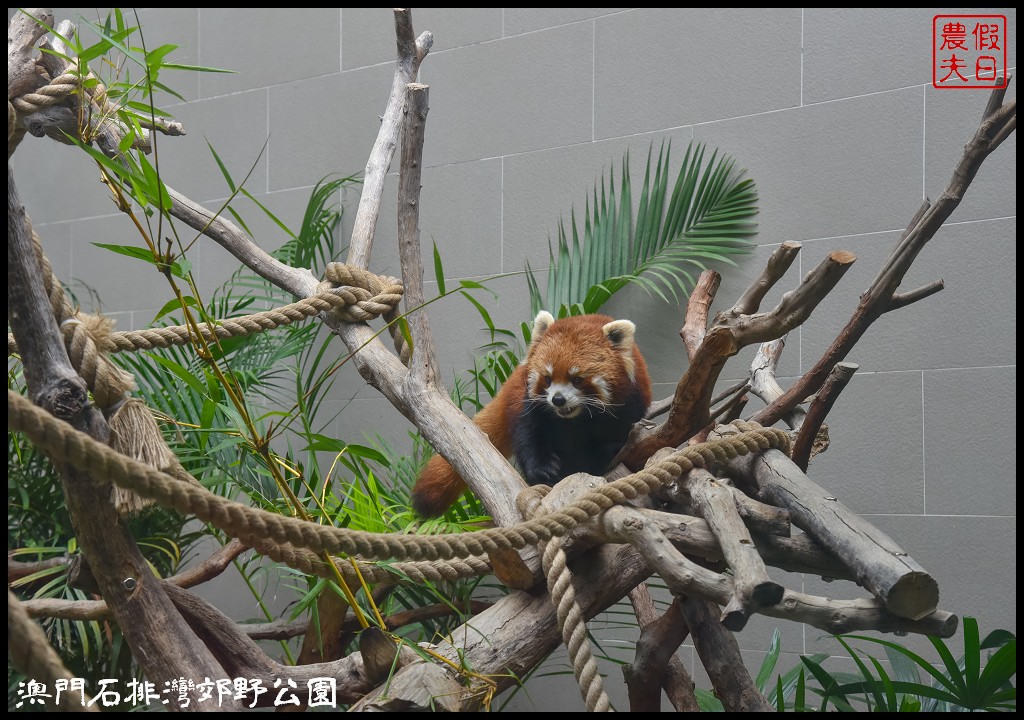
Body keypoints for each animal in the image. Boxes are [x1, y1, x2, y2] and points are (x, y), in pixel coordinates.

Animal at [411, 309, 651, 518]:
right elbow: (529, 436)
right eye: (548, 378)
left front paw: (603, 455)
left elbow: (618, 436)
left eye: (577, 379)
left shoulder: (630, 404)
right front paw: (544, 470)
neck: (577, 418)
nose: (558, 399)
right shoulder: (531, 406)